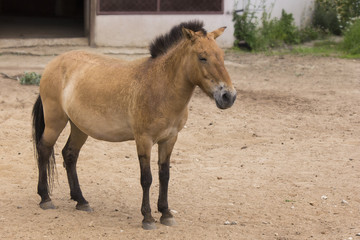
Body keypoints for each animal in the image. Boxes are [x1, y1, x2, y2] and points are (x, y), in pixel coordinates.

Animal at [32, 20, 236, 229]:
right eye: (202, 58)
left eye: (222, 56)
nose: (228, 96)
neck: (161, 86)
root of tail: (54, 63)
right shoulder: (144, 140)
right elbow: (146, 178)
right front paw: (147, 217)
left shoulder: (170, 139)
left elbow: (164, 176)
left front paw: (166, 213)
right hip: (55, 121)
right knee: (44, 149)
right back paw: (45, 198)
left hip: (79, 127)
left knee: (70, 154)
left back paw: (81, 200)